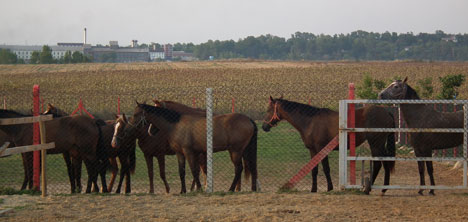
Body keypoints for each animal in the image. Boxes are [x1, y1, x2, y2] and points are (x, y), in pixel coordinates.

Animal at [126, 103, 258, 193]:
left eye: (136, 114)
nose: (128, 127)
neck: (176, 125)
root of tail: (248, 119)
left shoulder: (188, 152)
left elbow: (194, 170)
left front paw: (199, 189)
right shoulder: (180, 153)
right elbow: (182, 171)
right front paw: (183, 191)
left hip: (235, 151)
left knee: (238, 169)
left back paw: (231, 189)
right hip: (243, 151)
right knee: (250, 168)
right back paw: (251, 188)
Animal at [262, 96, 396, 194]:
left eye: (268, 110)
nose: (264, 127)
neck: (310, 121)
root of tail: (386, 112)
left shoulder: (322, 149)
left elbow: (326, 168)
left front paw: (329, 188)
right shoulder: (313, 150)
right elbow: (314, 170)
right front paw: (313, 189)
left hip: (375, 144)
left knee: (378, 163)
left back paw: (368, 189)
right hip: (379, 145)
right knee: (386, 162)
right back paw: (384, 188)